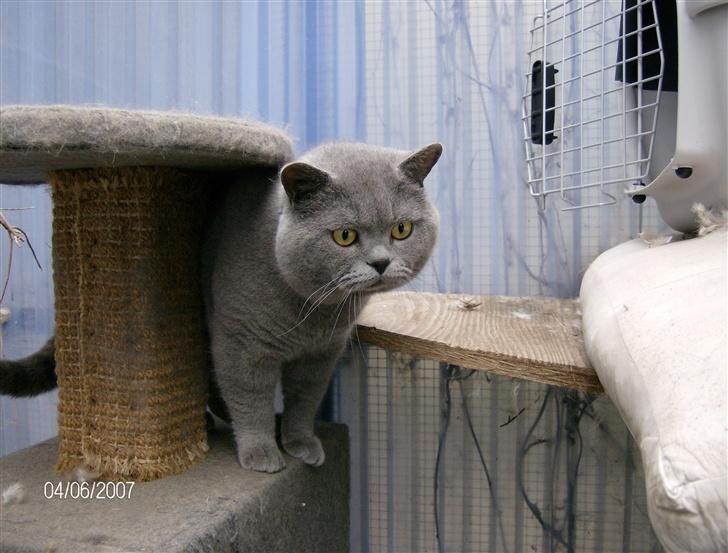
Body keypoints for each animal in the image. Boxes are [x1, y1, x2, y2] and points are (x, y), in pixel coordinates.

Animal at [0, 140, 440, 472]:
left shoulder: (320, 355)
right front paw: (261, 451)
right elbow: (250, 397)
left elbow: (304, 400)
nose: (381, 262)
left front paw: (300, 443)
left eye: (401, 229)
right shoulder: (240, 344)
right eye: (345, 236)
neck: (312, 313)